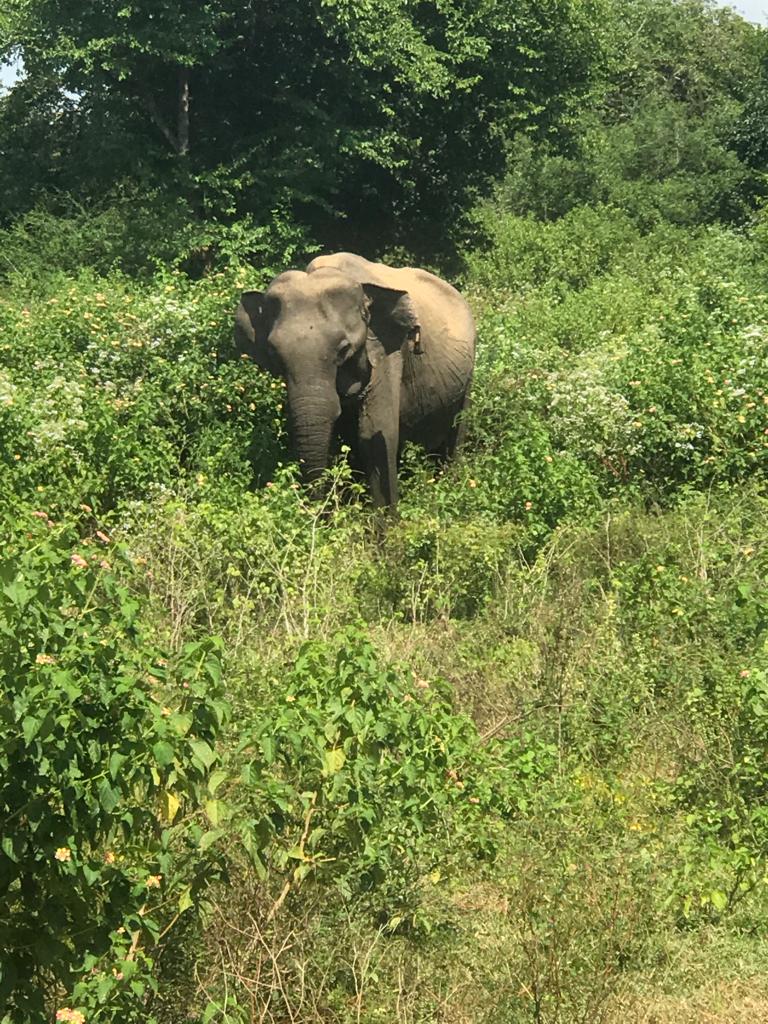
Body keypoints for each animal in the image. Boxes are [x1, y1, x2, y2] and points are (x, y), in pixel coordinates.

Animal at [234, 251, 476, 508]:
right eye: (274, 354)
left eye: (343, 349)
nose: (318, 511)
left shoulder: (386, 350)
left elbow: (376, 433)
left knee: (457, 427)